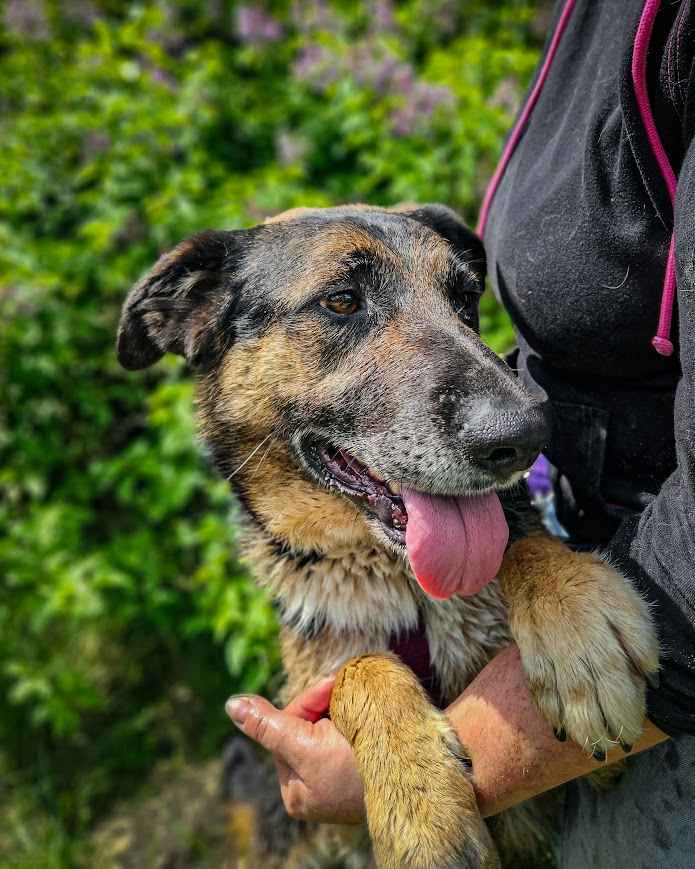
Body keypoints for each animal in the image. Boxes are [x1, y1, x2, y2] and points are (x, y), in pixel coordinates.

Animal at [117, 205, 660, 868]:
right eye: (342, 301)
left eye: (466, 299)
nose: (526, 434)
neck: (407, 591)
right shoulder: (317, 748)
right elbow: (361, 667)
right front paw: (421, 809)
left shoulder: (586, 781)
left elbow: (526, 546)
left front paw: (577, 629)